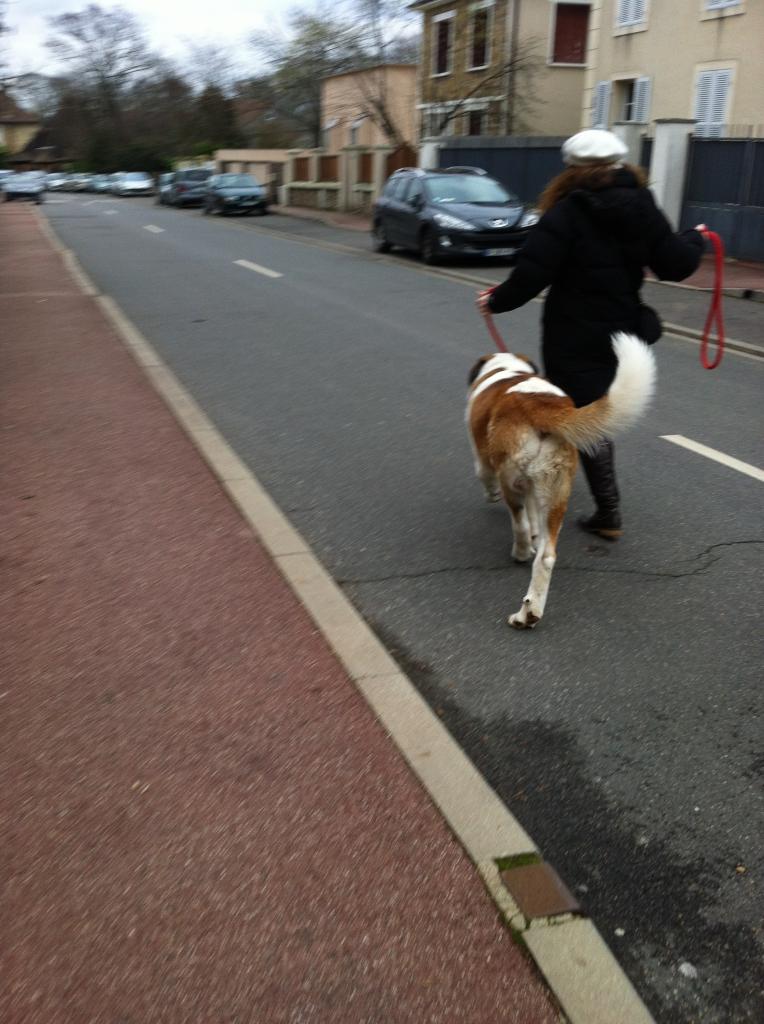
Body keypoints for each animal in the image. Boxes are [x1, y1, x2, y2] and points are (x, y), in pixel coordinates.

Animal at [464, 331, 655, 626]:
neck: (507, 368)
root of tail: (545, 406)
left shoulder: (484, 458)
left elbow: (484, 476)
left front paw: (492, 495)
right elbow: (533, 518)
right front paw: (534, 535)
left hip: (512, 479)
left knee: (519, 523)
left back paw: (521, 554)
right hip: (556, 490)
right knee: (546, 556)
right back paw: (528, 614)